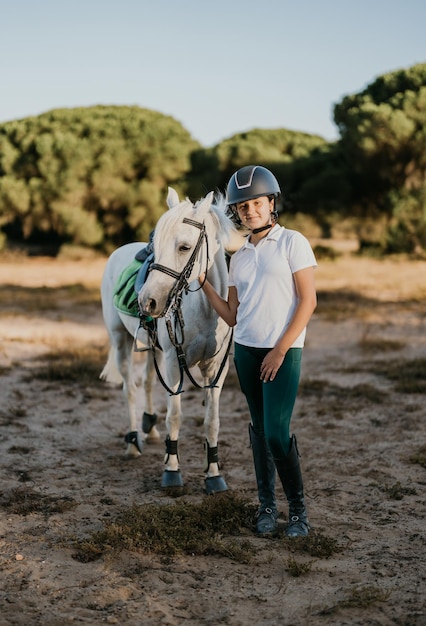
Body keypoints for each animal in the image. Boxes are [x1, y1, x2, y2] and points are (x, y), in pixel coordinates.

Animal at [100, 185, 235, 492]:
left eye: (184, 247)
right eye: (156, 245)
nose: (146, 301)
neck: (206, 308)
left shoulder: (216, 369)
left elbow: (212, 421)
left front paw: (214, 474)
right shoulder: (175, 363)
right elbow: (175, 416)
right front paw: (172, 470)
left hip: (155, 349)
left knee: (149, 382)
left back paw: (150, 430)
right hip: (120, 340)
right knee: (130, 389)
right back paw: (133, 442)